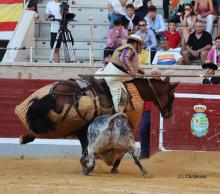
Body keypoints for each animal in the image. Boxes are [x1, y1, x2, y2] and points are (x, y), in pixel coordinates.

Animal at [16, 76, 179, 175]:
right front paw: (113, 166)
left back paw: (25, 138)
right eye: (172, 96)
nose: (169, 114)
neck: (135, 91)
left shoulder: (84, 130)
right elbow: (123, 151)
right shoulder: (126, 129)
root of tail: (53, 94)